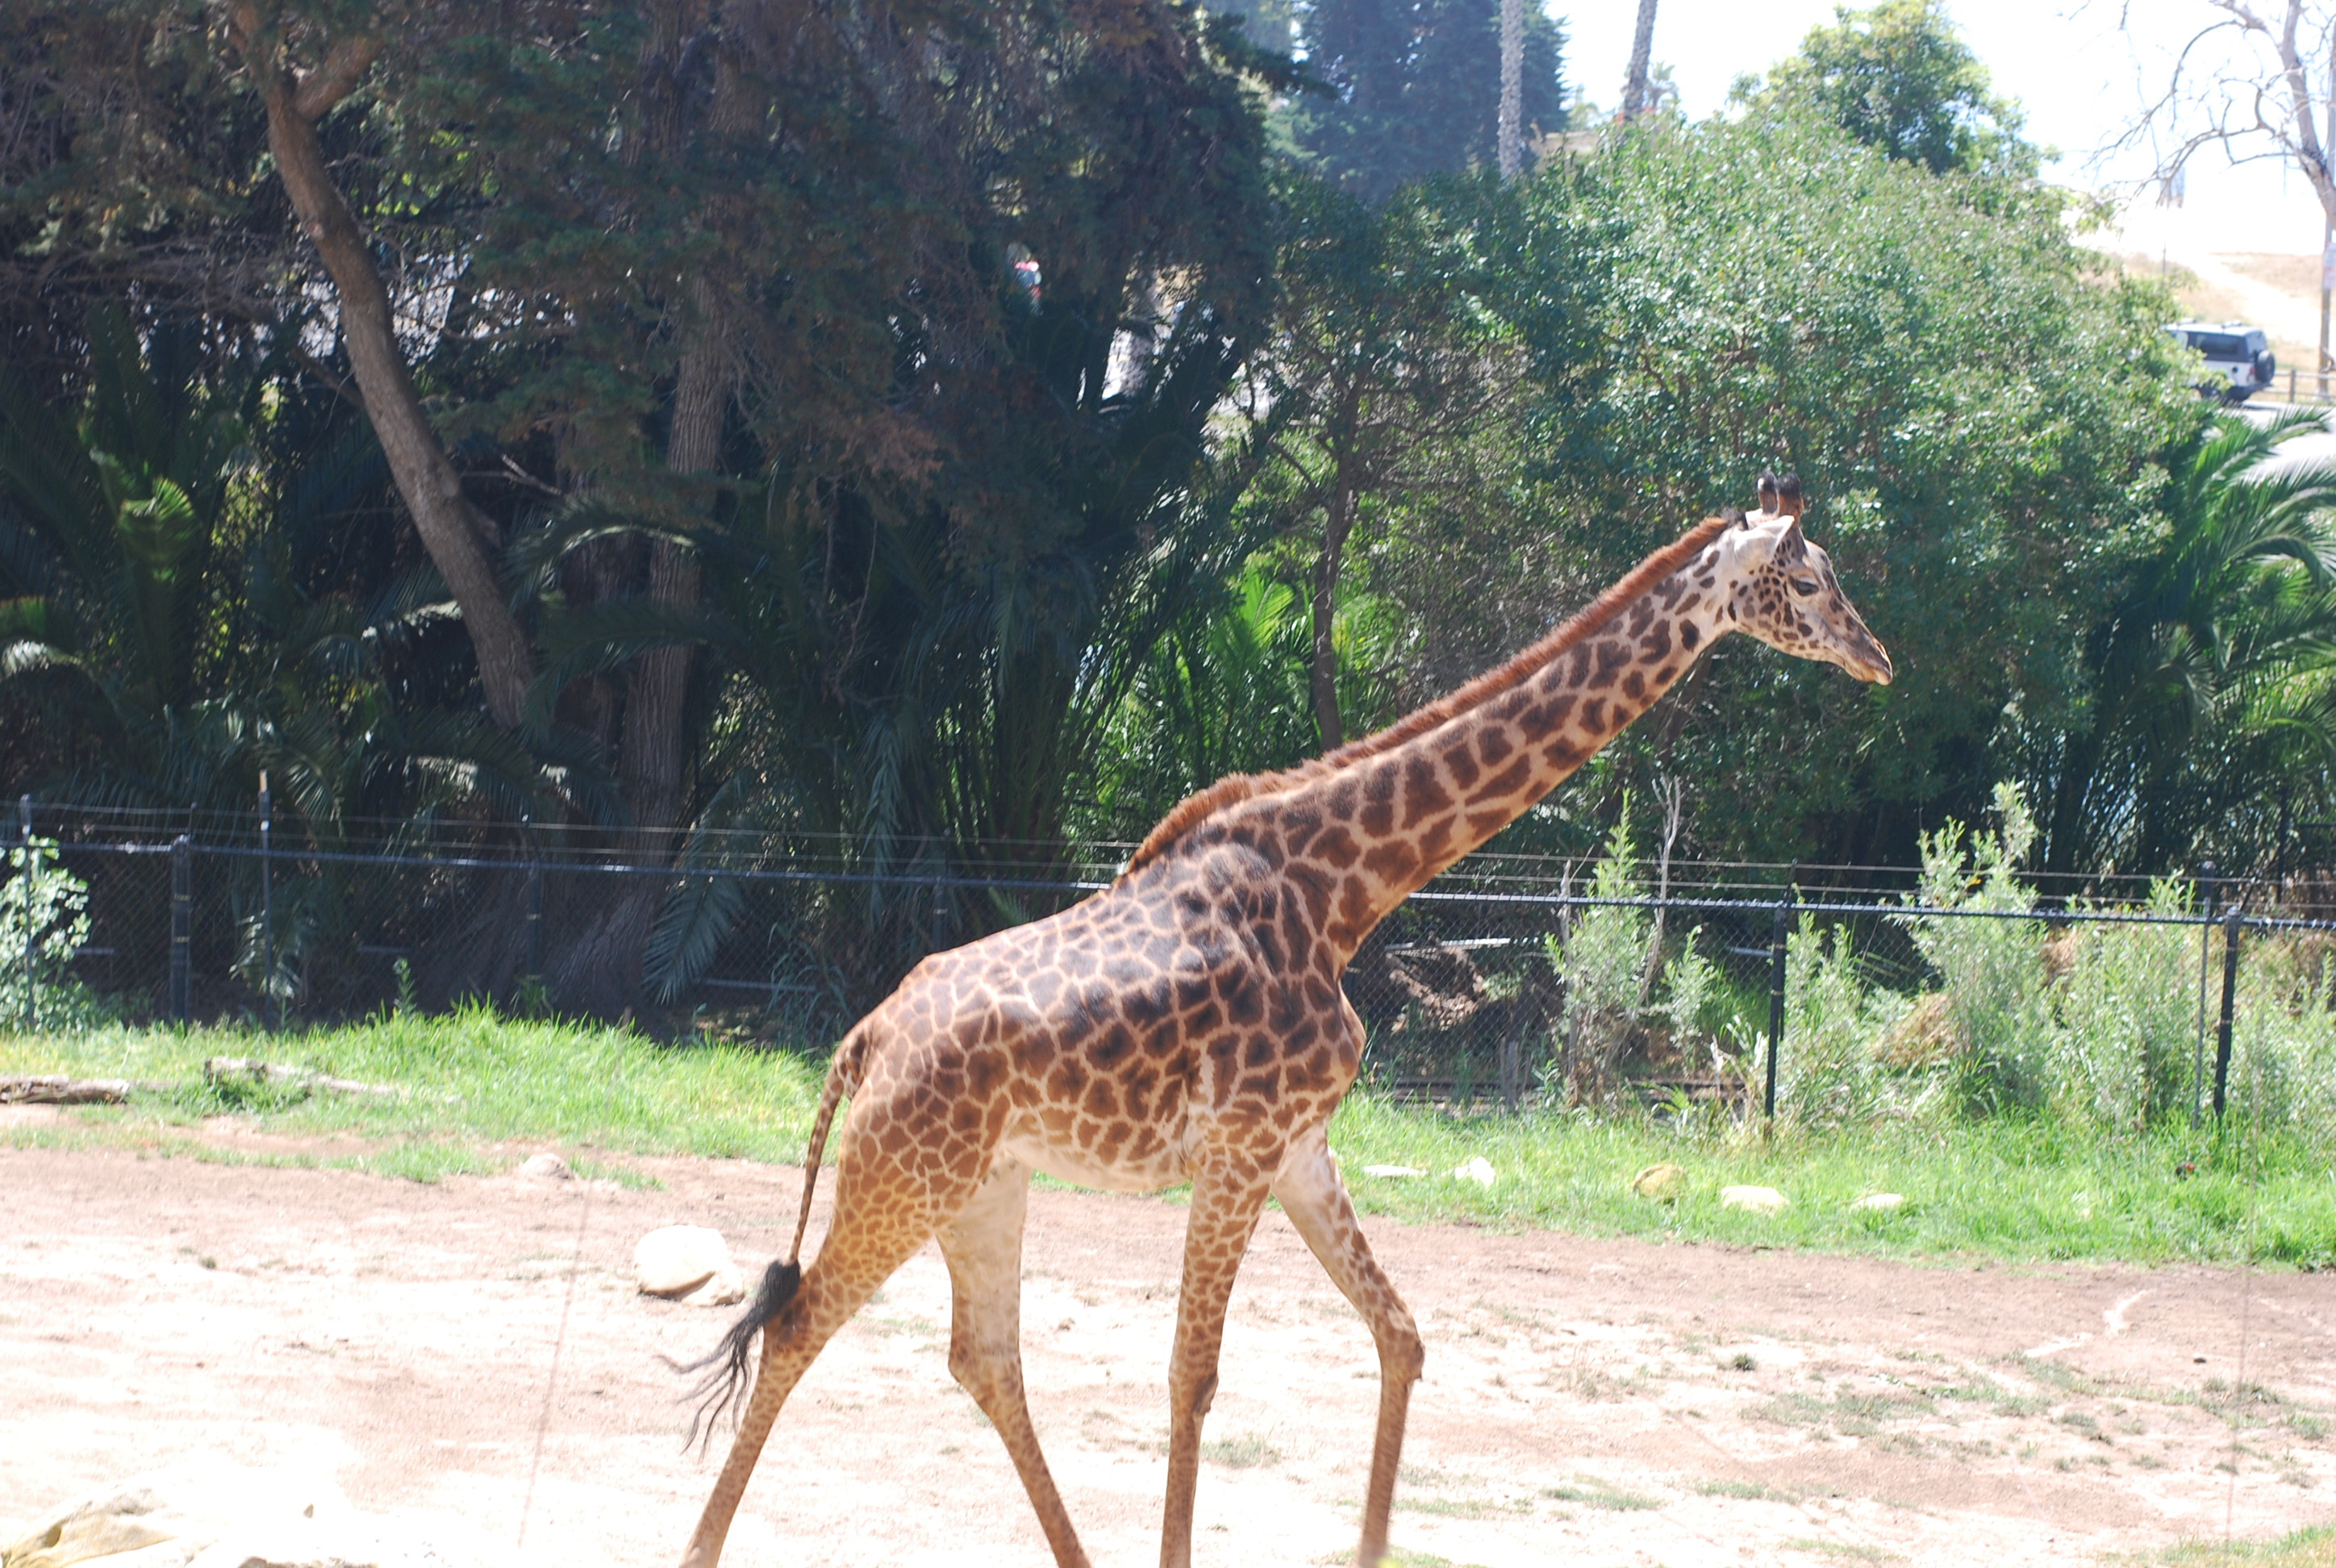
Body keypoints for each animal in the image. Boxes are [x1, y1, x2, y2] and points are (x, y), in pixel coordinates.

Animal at [674, 473, 1892, 1568]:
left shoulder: (1301, 1146)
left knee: (985, 1359)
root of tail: (862, 1042)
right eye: (1811, 581)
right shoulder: (1240, 1147)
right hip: (904, 1177)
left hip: (983, 1183)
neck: (1344, 891)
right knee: (799, 1326)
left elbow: (1400, 1337)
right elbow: (1193, 1374)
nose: (1879, 659)